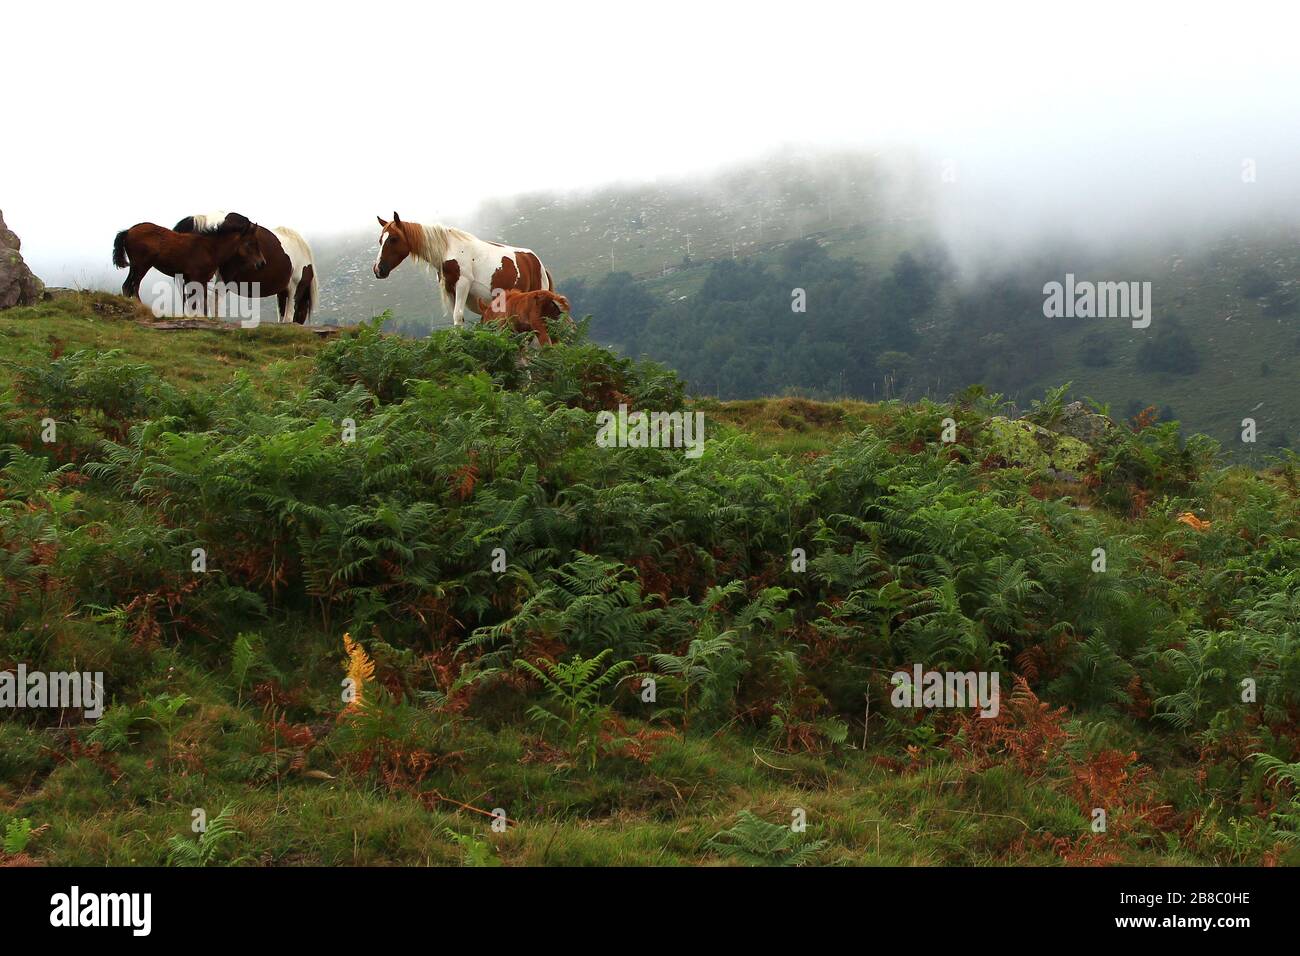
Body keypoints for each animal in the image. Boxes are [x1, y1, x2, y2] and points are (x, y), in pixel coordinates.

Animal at [112, 214, 265, 315]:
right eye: (250, 243)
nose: (261, 263)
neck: (210, 249)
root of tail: (128, 231)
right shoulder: (195, 278)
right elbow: (194, 303)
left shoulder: (201, 280)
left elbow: (202, 302)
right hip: (142, 266)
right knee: (134, 286)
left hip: (135, 266)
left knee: (126, 286)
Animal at [372, 212, 554, 327]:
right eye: (380, 240)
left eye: (393, 239)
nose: (378, 269)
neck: (448, 249)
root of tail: (538, 264)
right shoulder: (451, 289)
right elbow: (458, 318)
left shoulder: (462, 285)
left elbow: (457, 316)